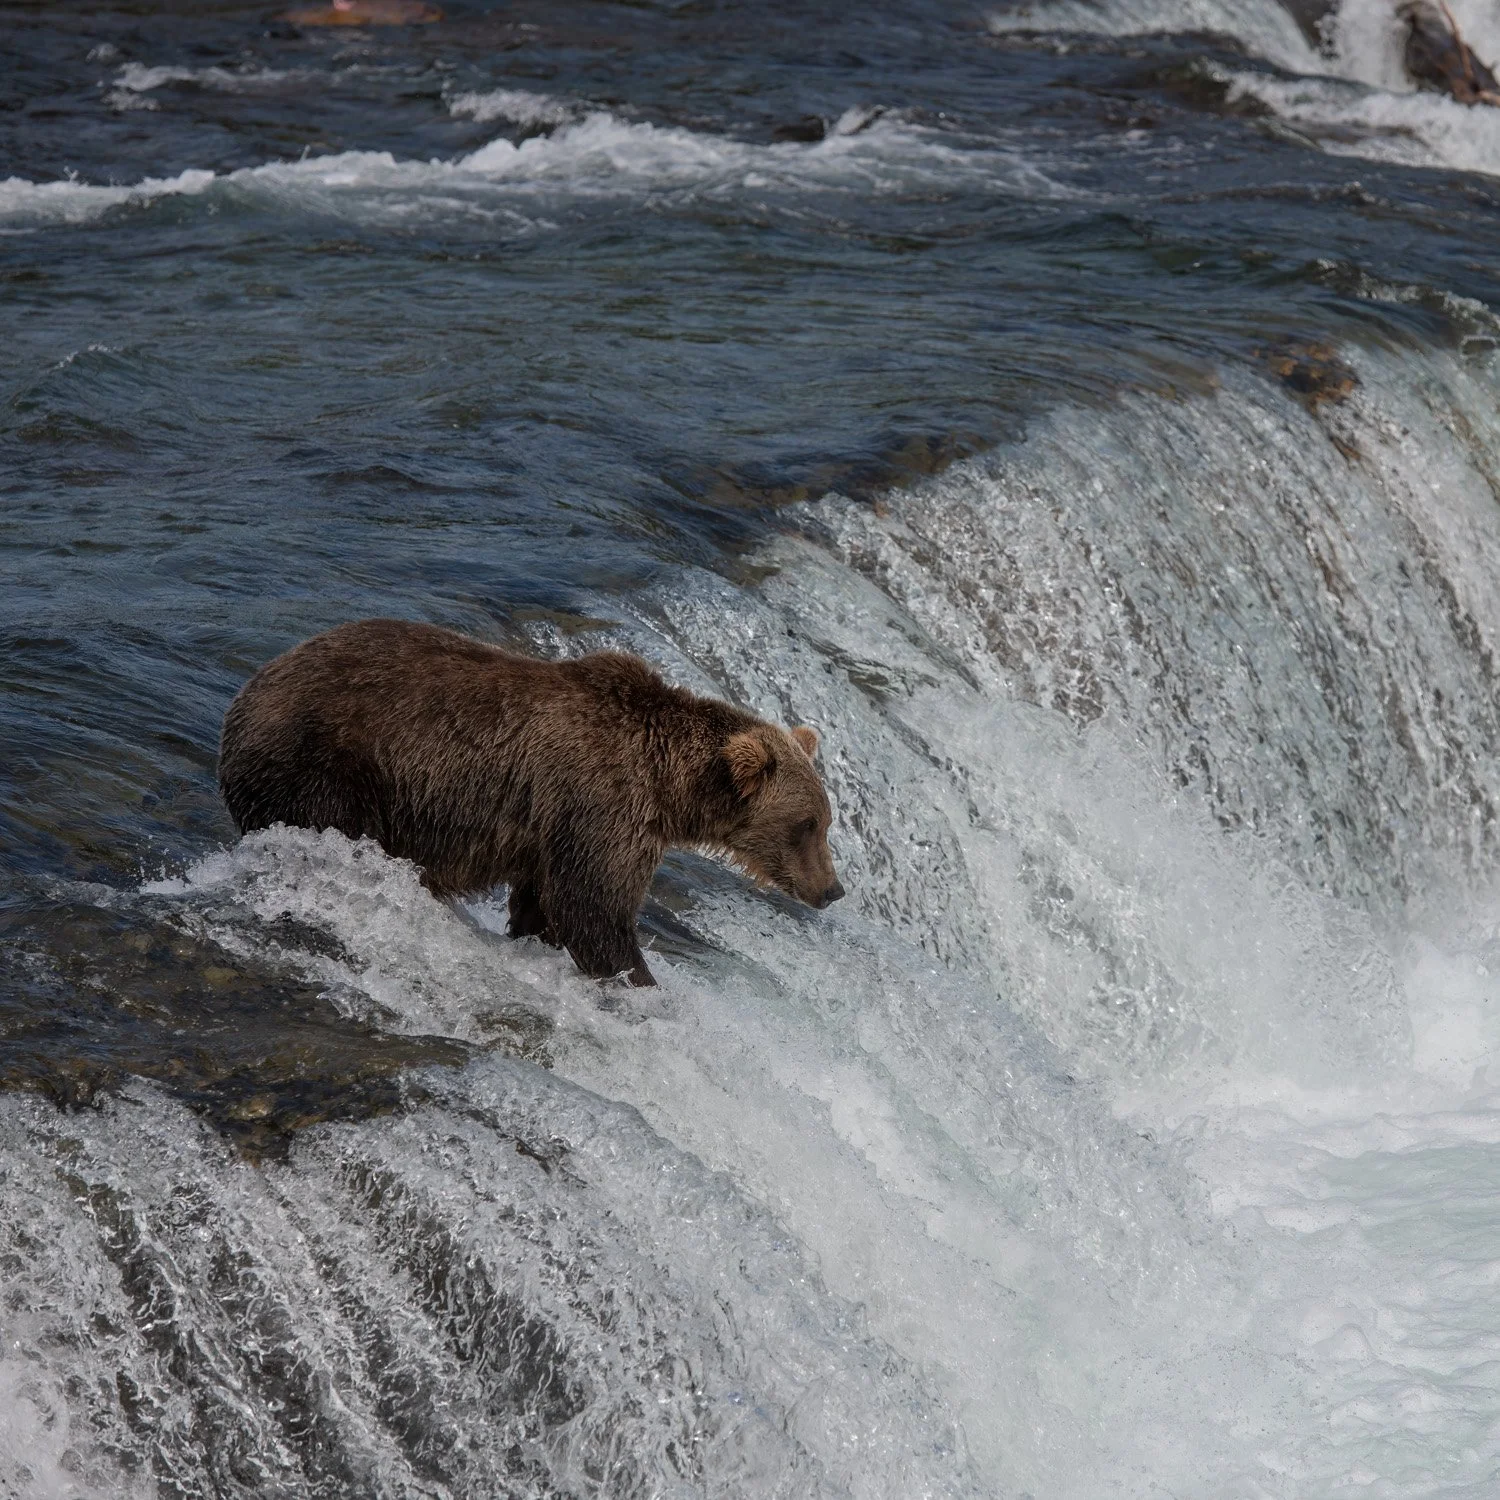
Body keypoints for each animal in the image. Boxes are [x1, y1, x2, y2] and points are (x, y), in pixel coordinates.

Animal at [218, 619, 843, 986]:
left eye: (825, 822)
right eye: (807, 823)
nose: (832, 890)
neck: (670, 786)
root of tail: (247, 692)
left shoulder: (558, 831)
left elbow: (545, 904)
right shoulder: (602, 806)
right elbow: (592, 910)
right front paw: (638, 979)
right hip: (328, 769)